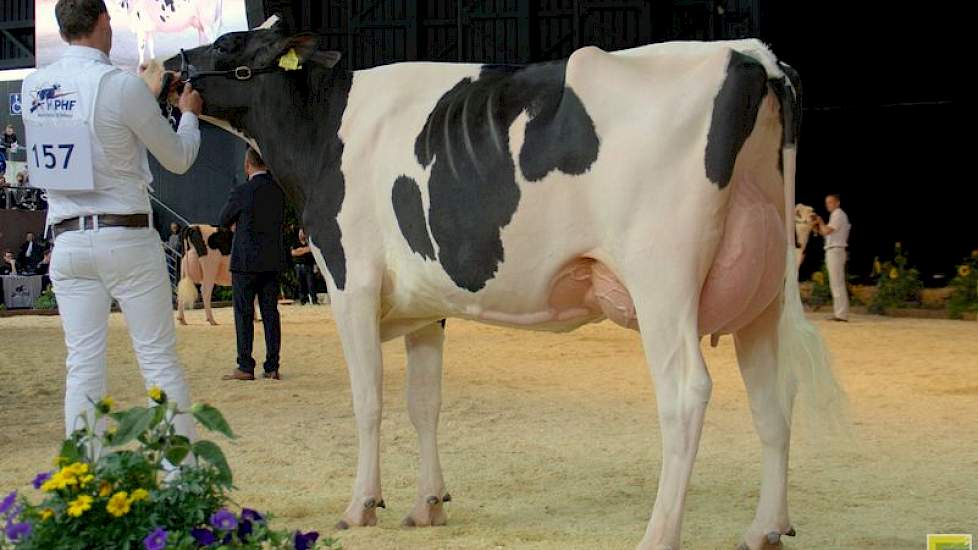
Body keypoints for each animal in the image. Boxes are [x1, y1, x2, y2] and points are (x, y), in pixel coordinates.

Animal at [164, 23, 844, 550]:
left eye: (227, 45)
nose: (171, 67)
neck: (327, 128)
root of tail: (751, 54)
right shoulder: (425, 303)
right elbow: (424, 402)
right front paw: (427, 504)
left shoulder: (350, 280)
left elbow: (369, 401)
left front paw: (362, 505)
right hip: (762, 289)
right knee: (772, 399)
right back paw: (764, 529)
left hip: (663, 278)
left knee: (686, 394)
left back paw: (658, 534)